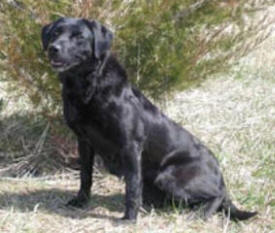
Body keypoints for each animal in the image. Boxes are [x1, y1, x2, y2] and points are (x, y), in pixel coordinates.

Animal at [42, 17, 258, 221]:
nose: (53, 48)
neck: (88, 87)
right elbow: (85, 176)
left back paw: (201, 213)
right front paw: (80, 201)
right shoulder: (84, 141)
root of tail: (220, 176)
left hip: (169, 177)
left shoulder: (131, 146)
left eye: (79, 36)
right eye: (56, 33)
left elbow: (132, 186)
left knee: (218, 197)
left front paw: (129, 218)